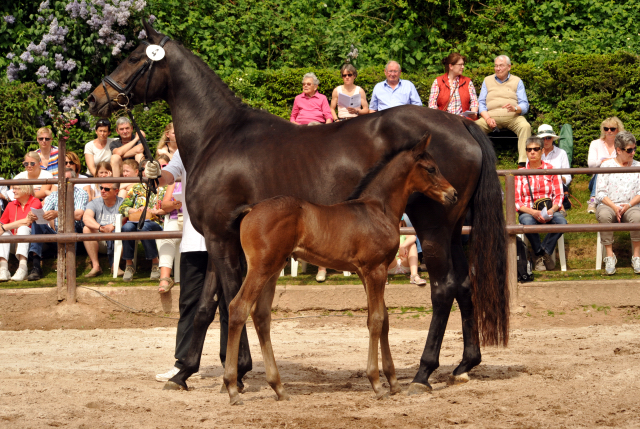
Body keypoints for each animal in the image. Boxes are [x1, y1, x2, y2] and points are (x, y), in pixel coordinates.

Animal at [222, 133, 458, 402]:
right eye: (431, 168)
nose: (453, 194)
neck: (378, 209)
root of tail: (251, 209)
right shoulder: (375, 270)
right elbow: (376, 319)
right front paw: (376, 383)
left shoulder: (366, 273)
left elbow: (384, 319)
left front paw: (394, 382)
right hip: (260, 268)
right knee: (238, 308)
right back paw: (232, 387)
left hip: (272, 270)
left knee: (261, 316)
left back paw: (278, 387)